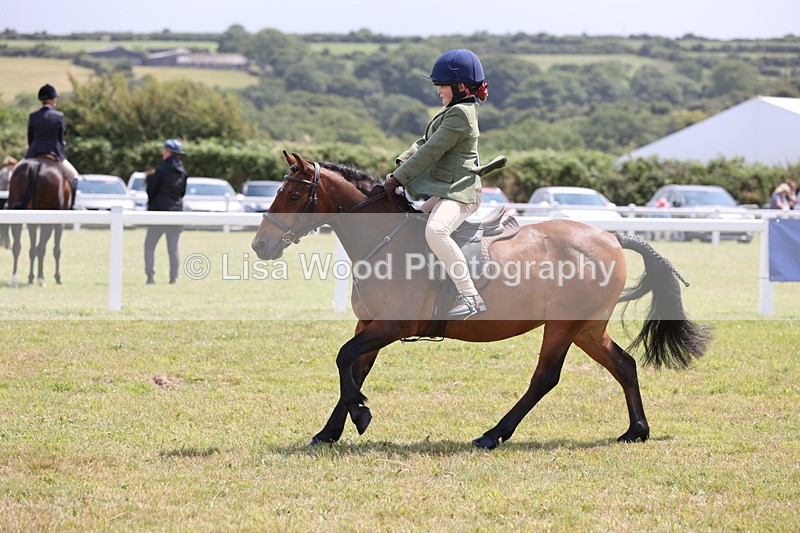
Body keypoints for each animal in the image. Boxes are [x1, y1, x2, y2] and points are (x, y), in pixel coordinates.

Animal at [4, 157, 73, 287]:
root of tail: (35, 165)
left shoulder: (33, 222)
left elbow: (32, 249)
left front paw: (31, 277)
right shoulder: (58, 223)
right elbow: (55, 250)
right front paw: (57, 277)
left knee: (17, 247)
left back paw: (14, 278)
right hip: (48, 222)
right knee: (41, 248)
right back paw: (41, 278)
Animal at [251, 152, 711, 449]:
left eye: (293, 196)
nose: (260, 245)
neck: (384, 239)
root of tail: (610, 236)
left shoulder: (392, 326)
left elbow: (344, 358)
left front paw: (360, 415)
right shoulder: (369, 325)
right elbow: (353, 370)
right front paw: (330, 431)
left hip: (564, 326)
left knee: (545, 378)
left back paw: (492, 435)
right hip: (586, 328)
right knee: (624, 365)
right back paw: (636, 431)